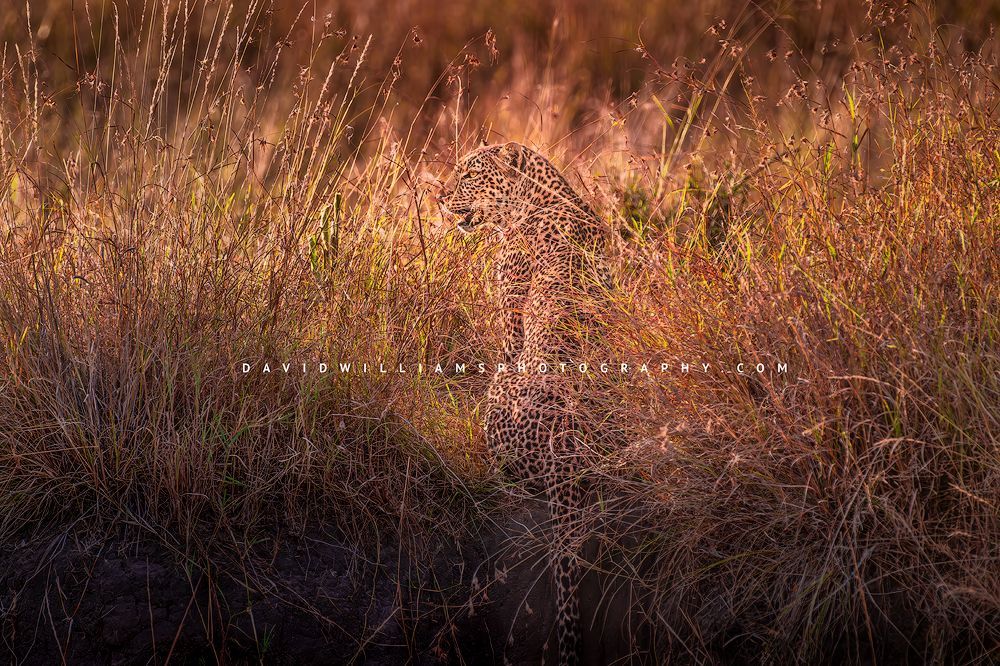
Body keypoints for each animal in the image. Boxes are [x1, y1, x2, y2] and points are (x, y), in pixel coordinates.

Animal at [441, 142, 611, 666]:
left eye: (468, 175)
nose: (439, 197)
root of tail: (566, 450)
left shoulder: (511, 317)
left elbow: (506, 343)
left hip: (500, 404)